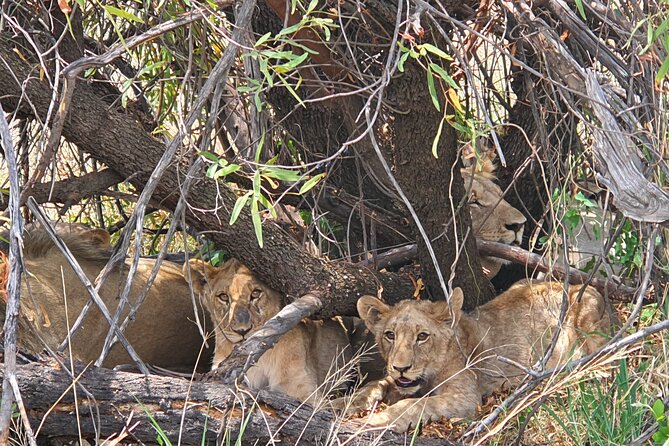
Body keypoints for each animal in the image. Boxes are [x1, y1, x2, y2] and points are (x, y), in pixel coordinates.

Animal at [338, 281, 611, 432]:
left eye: (422, 336)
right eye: (390, 335)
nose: (401, 367)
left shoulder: (466, 398)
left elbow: (415, 404)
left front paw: (372, 421)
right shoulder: (396, 380)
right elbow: (372, 387)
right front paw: (334, 405)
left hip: (589, 322)